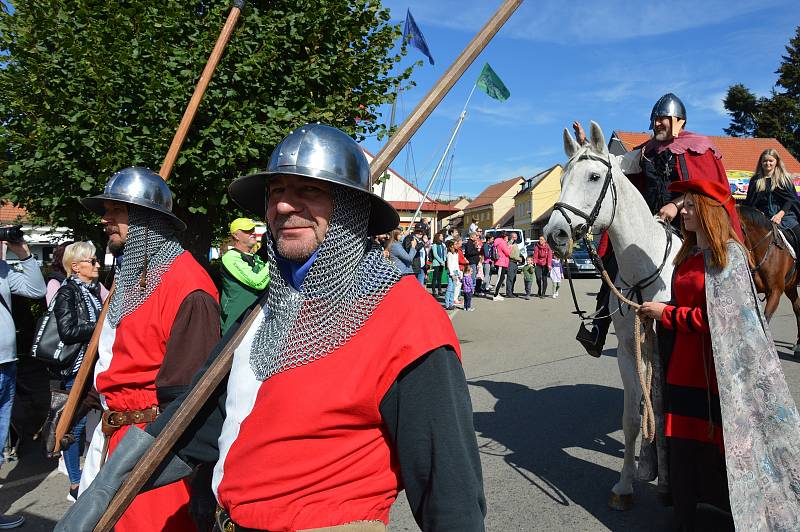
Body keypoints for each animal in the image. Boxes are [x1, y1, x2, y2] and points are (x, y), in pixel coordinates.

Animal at [540, 122, 680, 510]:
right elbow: (633, 416)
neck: (646, 266)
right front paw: (625, 484)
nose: (554, 234)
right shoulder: (631, 349)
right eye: (562, 179)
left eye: (594, 176)